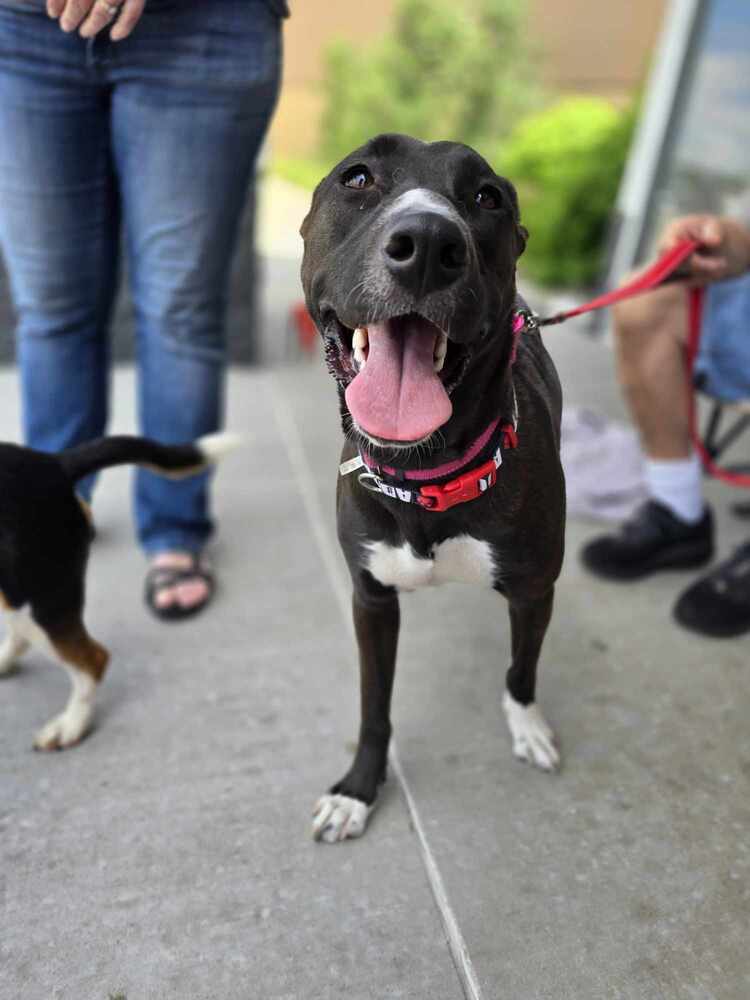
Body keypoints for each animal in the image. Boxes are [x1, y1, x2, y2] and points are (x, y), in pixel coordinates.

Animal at [302, 131, 568, 836]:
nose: (426, 243)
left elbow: (523, 668)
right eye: (357, 177)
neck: (430, 473)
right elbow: (374, 707)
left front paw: (527, 725)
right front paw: (358, 789)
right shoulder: (371, 598)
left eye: (488, 197)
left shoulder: (534, 589)